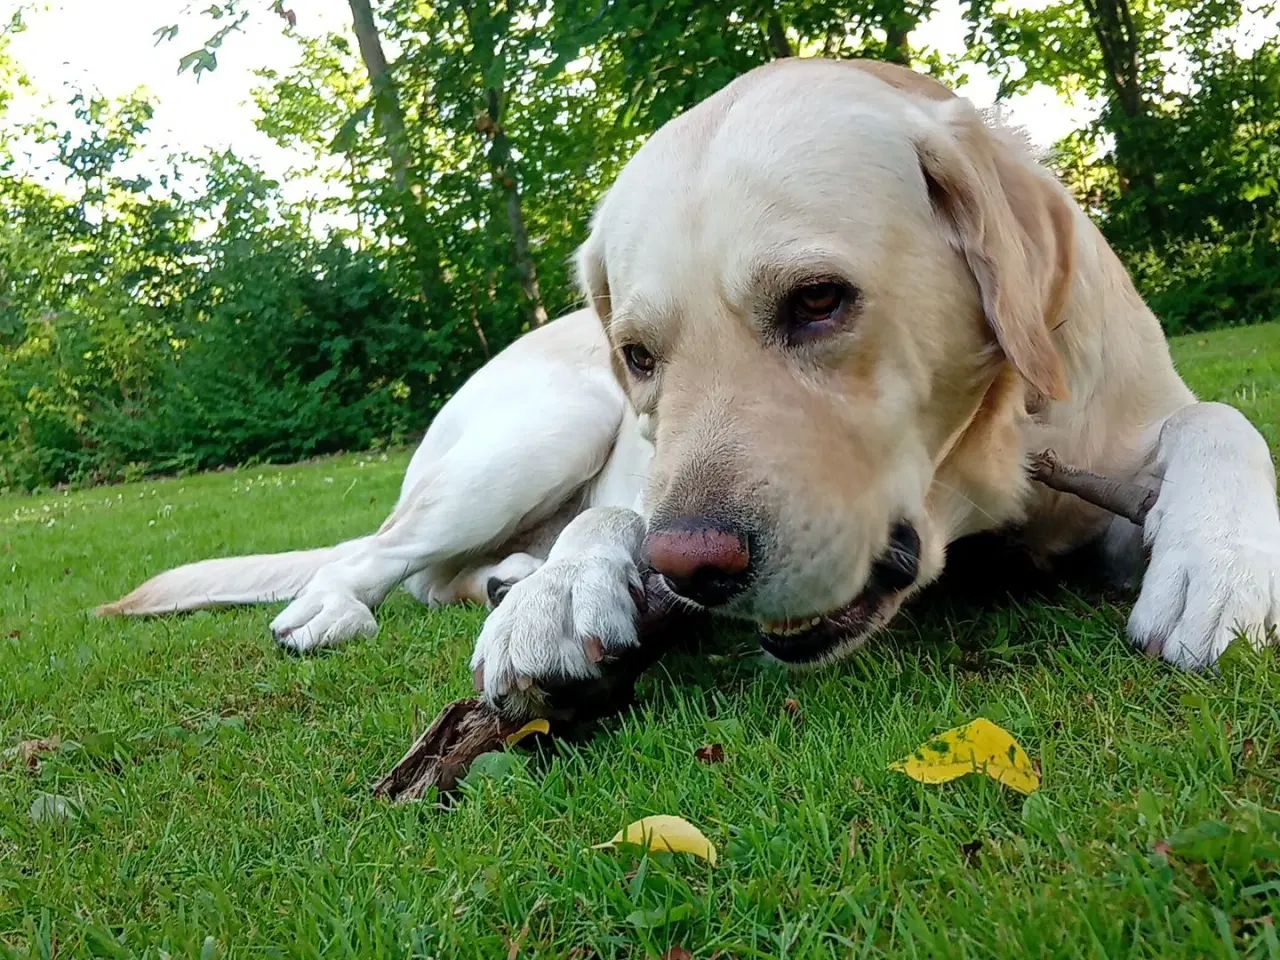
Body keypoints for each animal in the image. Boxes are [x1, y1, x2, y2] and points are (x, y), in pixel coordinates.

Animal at [99, 56, 1280, 716]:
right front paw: (559, 598)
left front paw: (1218, 565)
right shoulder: (637, 462)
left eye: (817, 302)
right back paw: (349, 606)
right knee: (378, 553)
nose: (694, 570)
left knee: (441, 572)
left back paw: (501, 576)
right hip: (544, 429)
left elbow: (1222, 421)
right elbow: (613, 520)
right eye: (639, 353)